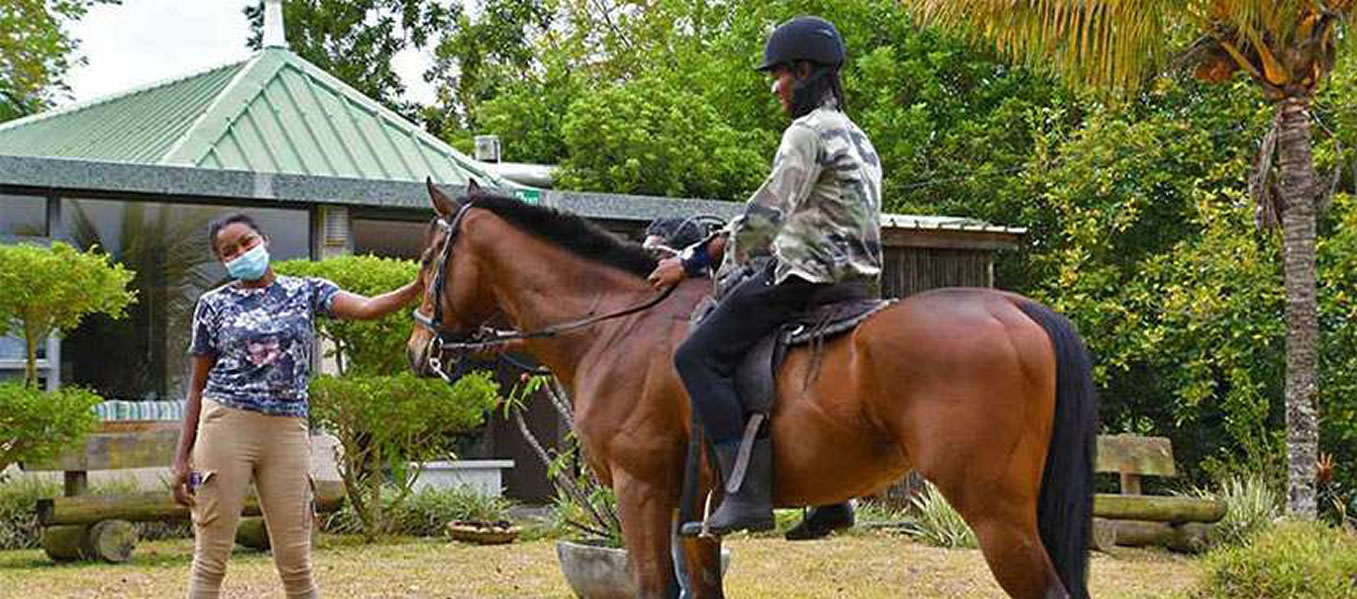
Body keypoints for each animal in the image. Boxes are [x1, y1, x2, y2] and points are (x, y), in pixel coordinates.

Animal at [407, 182, 1096, 597]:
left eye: (428, 258)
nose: (418, 348)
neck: (617, 325)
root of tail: (1015, 310)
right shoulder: (697, 512)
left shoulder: (642, 491)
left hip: (995, 514)